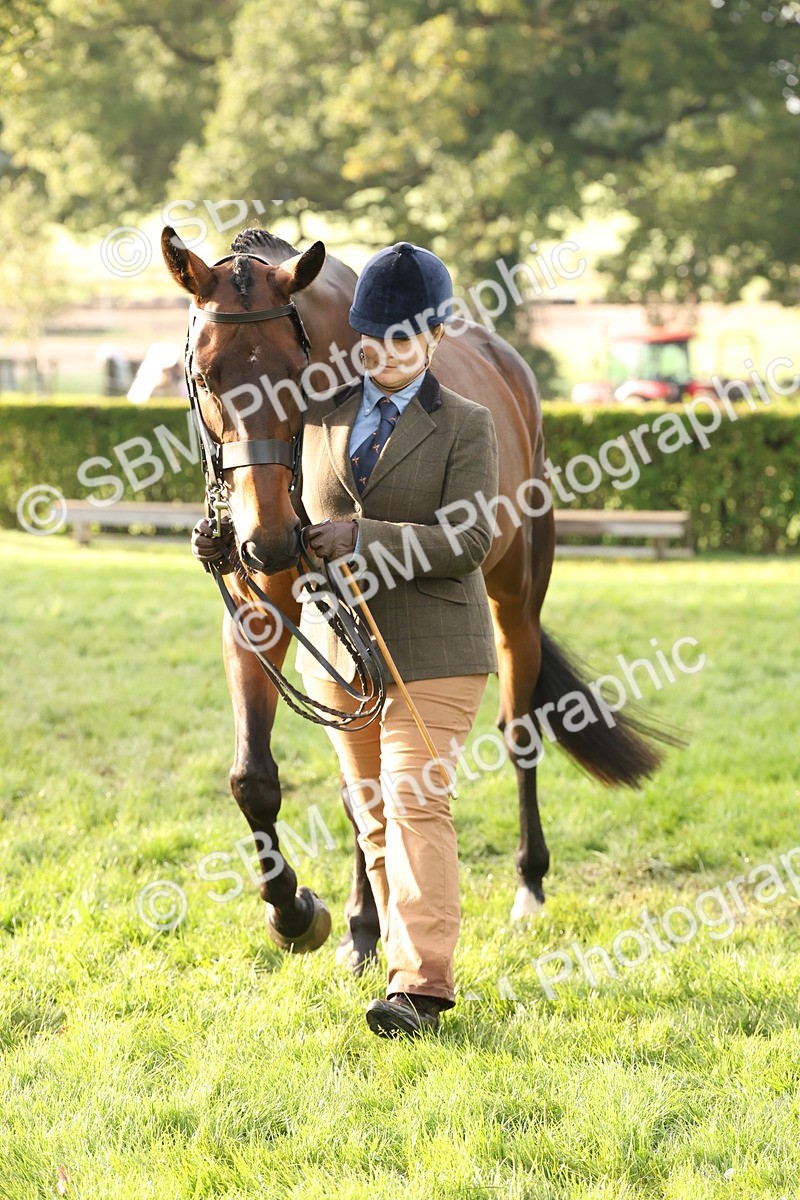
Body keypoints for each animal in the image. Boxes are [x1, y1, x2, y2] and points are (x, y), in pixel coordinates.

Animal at [161, 224, 672, 969]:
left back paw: (529, 886)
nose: (269, 542)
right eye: (204, 376)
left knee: (519, 729)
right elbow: (257, 779)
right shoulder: (259, 616)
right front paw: (298, 916)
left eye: (298, 374)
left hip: (517, 598)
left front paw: (355, 923)